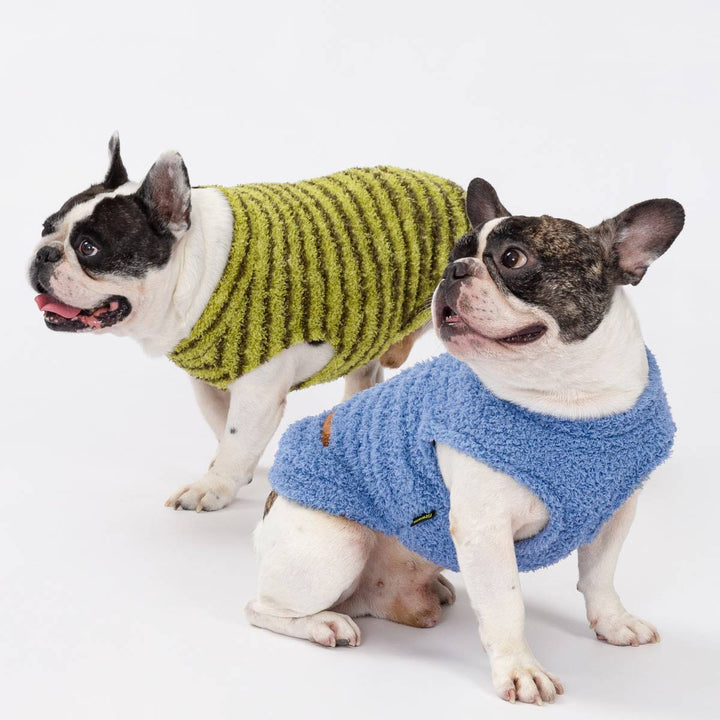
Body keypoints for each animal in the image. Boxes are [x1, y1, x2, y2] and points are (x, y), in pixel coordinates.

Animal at [28, 134, 469, 511]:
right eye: (46, 228)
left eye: (89, 248)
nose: (43, 254)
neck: (197, 268)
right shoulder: (208, 380)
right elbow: (221, 425)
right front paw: (231, 473)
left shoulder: (259, 385)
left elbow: (238, 436)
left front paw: (213, 487)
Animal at [246, 177, 683, 704]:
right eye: (453, 255)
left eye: (513, 258)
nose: (452, 271)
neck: (568, 400)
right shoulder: (484, 529)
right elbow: (506, 607)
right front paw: (520, 670)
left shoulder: (615, 513)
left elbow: (600, 575)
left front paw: (614, 623)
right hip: (334, 544)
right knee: (262, 609)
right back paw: (322, 624)